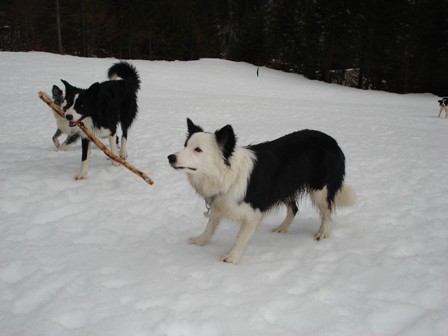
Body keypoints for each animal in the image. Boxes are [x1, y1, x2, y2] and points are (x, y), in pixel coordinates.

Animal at [168, 119, 356, 264]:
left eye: (198, 150)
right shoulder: (220, 201)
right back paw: (282, 228)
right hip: (283, 186)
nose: (170, 157)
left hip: (320, 190)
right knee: (294, 208)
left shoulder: (253, 213)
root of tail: (332, 141)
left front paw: (232, 257)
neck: (226, 175)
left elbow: (240, 237)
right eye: (185, 146)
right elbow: (210, 226)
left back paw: (323, 232)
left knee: (327, 211)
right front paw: (200, 240)